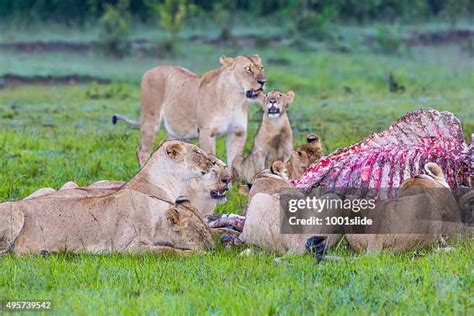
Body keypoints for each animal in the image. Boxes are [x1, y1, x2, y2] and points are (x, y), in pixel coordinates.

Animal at [113, 54, 264, 169]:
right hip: (150, 118)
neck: (234, 98)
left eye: (261, 68)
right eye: (248, 69)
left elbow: (234, 162)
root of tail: (151, 70)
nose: (263, 81)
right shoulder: (206, 132)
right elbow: (210, 158)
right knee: (142, 151)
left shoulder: (238, 132)